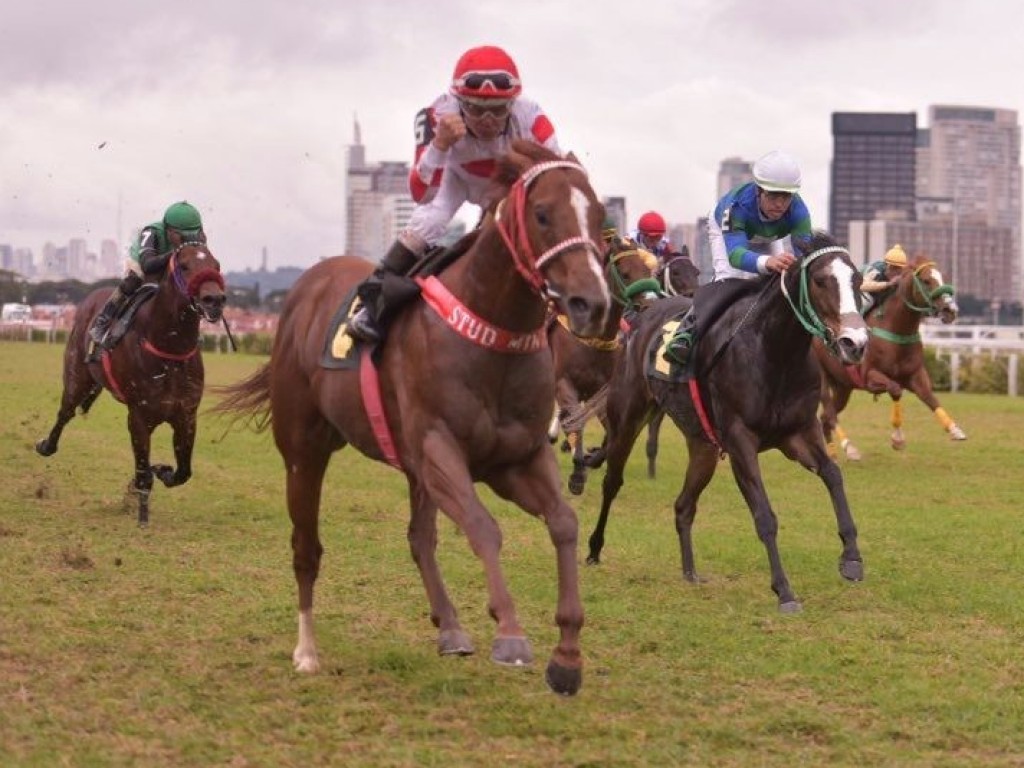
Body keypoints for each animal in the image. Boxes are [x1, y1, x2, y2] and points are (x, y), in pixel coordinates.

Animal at [37, 241, 228, 528]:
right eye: (184, 265)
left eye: (216, 265)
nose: (214, 300)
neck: (169, 350)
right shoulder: (139, 417)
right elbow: (143, 473)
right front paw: (143, 517)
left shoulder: (185, 416)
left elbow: (182, 472)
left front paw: (162, 469)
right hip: (77, 378)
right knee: (65, 413)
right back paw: (46, 446)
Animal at [208, 140, 606, 696]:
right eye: (543, 214)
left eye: (601, 216)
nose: (592, 303)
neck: (492, 336)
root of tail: (307, 286)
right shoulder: (440, 447)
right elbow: (483, 527)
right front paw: (509, 631)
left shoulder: (516, 458)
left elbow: (564, 522)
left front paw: (567, 655)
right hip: (304, 451)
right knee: (306, 546)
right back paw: (307, 651)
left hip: (413, 467)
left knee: (420, 539)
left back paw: (451, 628)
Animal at [548, 237, 659, 495]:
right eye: (625, 273)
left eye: (647, 270)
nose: (649, 306)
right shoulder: (564, 383)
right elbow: (575, 421)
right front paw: (577, 474)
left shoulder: (604, 391)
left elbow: (611, 432)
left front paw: (593, 457)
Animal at [565, 234, 868, 614]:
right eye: (821, 280)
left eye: (857, 280)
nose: (855, 343)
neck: (776, 352)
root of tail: (644, 317)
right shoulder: (740, 441)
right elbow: (764, 516)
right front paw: (784, 591)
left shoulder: (798, 434)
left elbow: (833, 475)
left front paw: (851, 558)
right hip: (628, 418)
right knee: (612, 482)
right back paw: (594, 548)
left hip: (703, 447)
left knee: (683, 505)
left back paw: (690, 571)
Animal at [815, 257, 958, 462]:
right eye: (926, 280)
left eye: (941, 277)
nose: (950, 310)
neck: (896, 331)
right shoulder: (870, 376)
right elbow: (896, 390)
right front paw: (898, 439)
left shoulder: (915, 374)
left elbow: (929, 397)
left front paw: (954, 429)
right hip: (822, 378)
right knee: (829, 413)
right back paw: (850, 448)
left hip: (843, 386)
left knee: (825, 417)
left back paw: (833, 454)